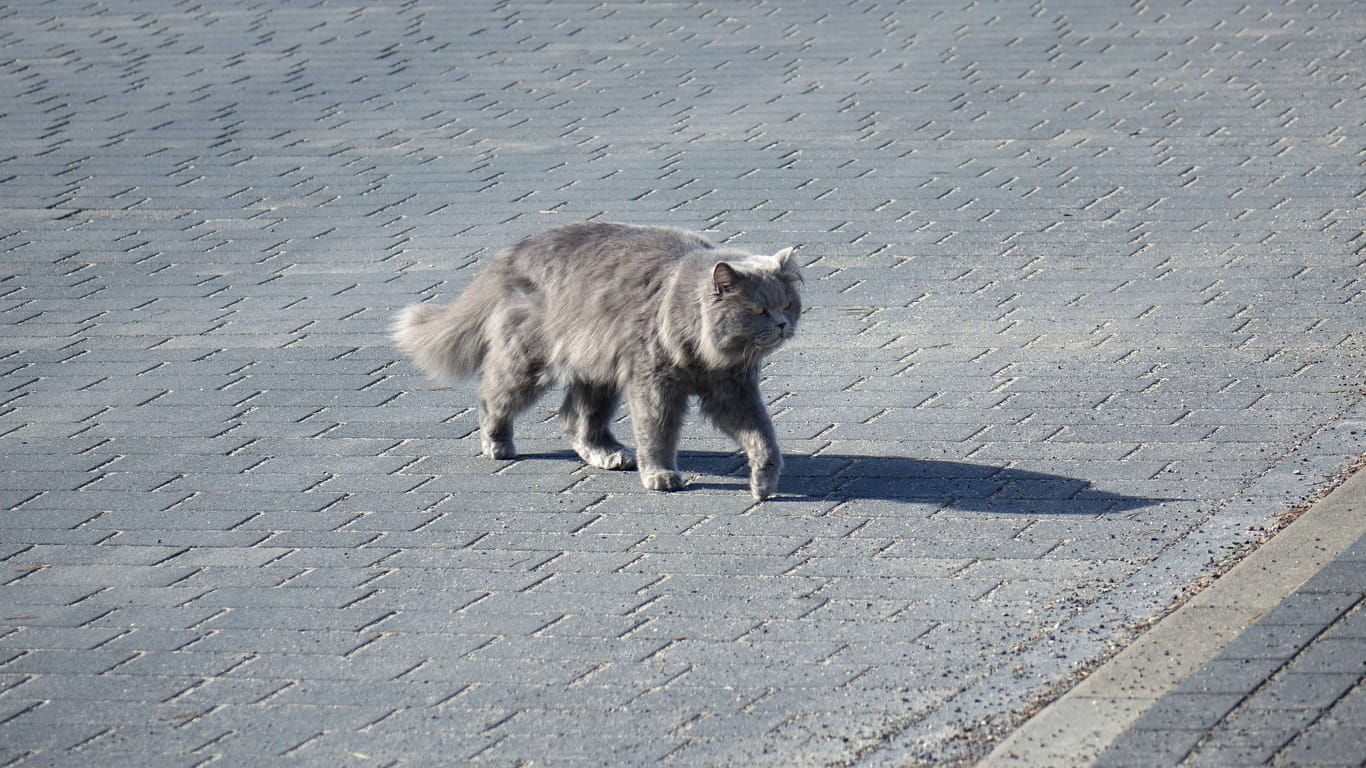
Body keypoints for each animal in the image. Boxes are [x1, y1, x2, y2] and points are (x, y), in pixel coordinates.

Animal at [390, 220, 797, 497]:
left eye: (788, 303)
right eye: (758, 309)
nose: (781, 324)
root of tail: (513, 254)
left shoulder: (733, 389)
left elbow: (762, 433)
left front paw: (764, 480)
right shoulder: (653, 384)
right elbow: (657, 433)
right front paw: (660, 475)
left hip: (598, 372)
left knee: (575, 419)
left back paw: (609, 455)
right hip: (529, 363)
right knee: (494, 398)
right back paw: (497, 445)